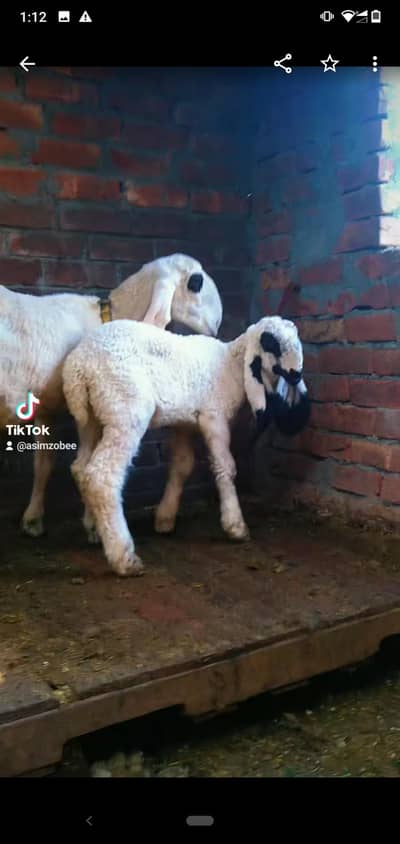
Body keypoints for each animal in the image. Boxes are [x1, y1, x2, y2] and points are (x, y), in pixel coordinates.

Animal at [0, 253, 223, 537]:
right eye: (196, 282)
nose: (217, 322)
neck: (111, 316)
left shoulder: (46, 406)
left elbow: (43, 464)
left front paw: (32, 519)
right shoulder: (86, 411)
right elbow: (83, 466)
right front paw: (94, 525)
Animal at [62, 315, 310, 577]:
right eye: (271, 344)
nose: (296, 374)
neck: (231, 363)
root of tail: (79, 365)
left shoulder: (185, 423)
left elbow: (182, 466)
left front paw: (165, 519)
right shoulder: (214, 417)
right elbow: (225, 467)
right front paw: (235, 526)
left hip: (91, 418)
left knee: (80, 468)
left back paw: (94, 529)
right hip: (125, 409)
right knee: (101, 476)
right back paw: (123, 557)